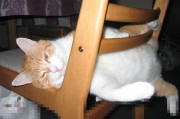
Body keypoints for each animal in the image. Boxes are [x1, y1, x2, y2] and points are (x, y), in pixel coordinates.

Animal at [11, 22, 178, 115]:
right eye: (43, 76)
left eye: (46, 57)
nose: (54, 69)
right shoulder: (98, 84)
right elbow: (113, 93)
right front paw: (142, 90)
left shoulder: (90, 35)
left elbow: (112, 33)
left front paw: (121, 36)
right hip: (157, 82)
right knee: (172, 89)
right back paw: (172, 106)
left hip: (145, 38)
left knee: (138, 28)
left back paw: (153, 24)